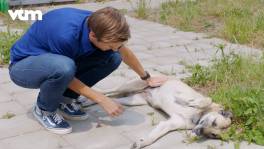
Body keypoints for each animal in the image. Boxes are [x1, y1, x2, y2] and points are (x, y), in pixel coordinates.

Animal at [100, 77, 232, 148]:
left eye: (213, 135)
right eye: (214, 122)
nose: (199, 132)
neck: (195, 118)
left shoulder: (168, 125)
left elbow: (153, 137)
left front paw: (141, 143)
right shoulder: (182, 95)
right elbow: (206, 100)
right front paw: (195, 103)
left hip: (133, 101)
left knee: (111, 99)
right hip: (129, 86)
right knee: (107, 91)